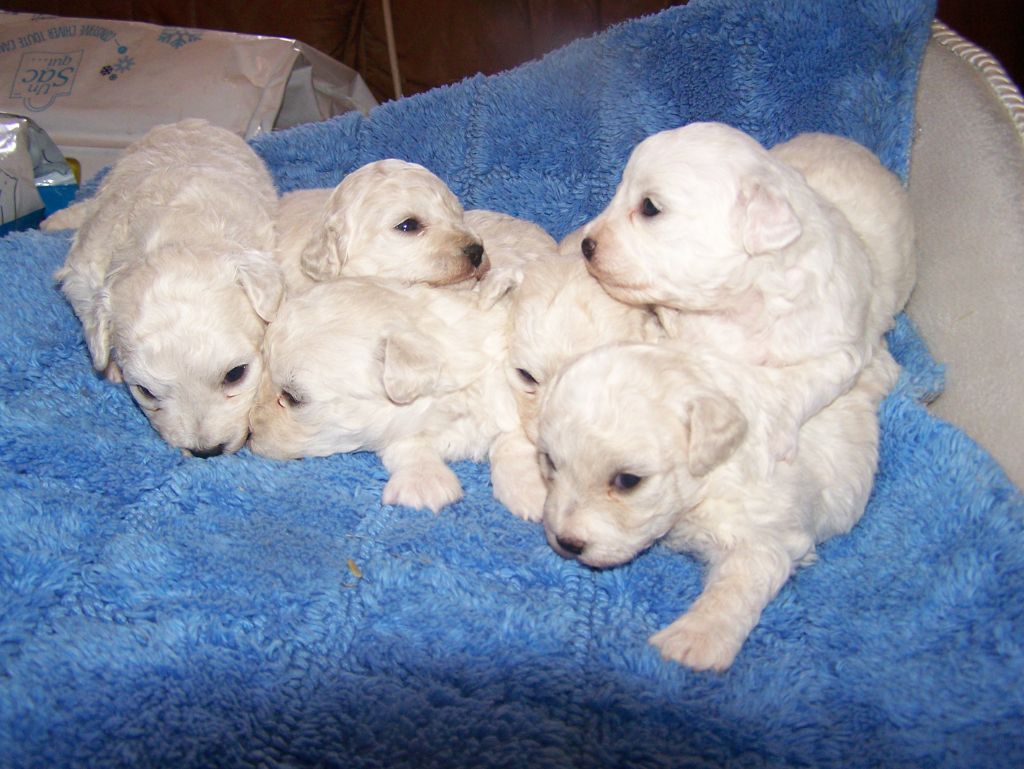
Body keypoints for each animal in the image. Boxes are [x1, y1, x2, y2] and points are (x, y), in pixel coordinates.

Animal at [45, 120, 284, 456]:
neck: (174, 235)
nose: (206, 451)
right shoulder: (83, 271)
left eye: (235, 374)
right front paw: (109, 367)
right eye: (145, 391)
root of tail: (185, 122)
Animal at [536, 342, 897, 671]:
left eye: (628, 480)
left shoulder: (759, 536)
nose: (566, 543)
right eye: (550, 461)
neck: (709, 479)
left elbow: (734, 588)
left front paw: (692, 642)